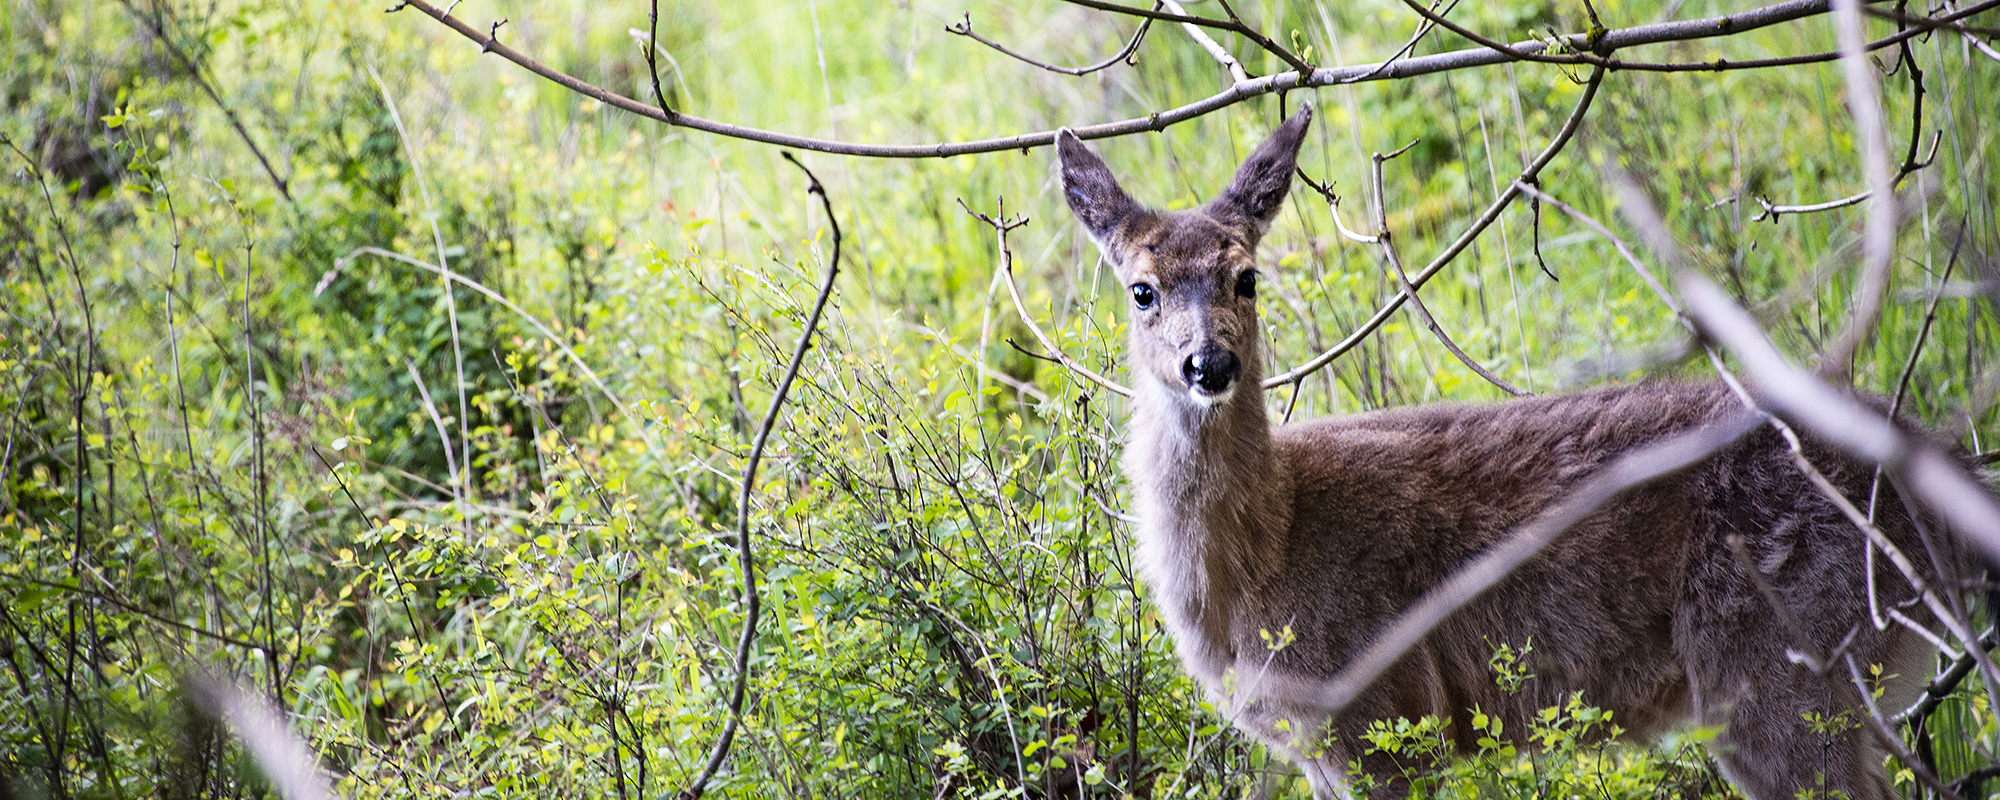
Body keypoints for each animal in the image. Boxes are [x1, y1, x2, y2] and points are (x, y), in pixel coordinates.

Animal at [1056, 108, 1960, 800]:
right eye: (1142, 291)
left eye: (1246, 278)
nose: (1209, 364)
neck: (1265, 552)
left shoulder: (1379, 717)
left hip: (1785, 667)